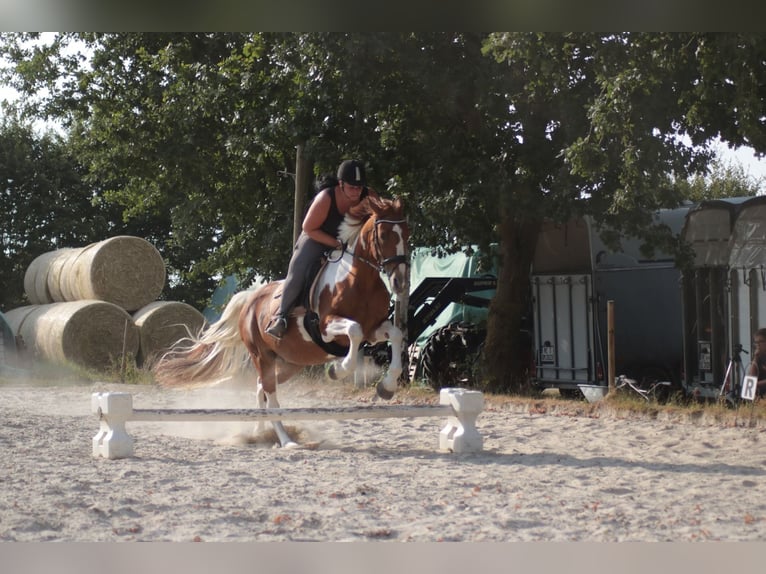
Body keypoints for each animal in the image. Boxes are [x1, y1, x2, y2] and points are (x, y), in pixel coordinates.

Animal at [152, 195, 410, 448]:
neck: (359, 282)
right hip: (262, 356)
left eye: (407, 234)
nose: (400, 282)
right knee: (271, 395)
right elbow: (354, 331)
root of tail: (250, 300)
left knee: (261, 389)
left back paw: (260, 433)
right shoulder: (327, 328)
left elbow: (396, 335)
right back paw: (286, 441)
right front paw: (337, 370)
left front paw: (386, 388)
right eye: (383, 235)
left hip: (290, 363)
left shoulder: (373, 329)